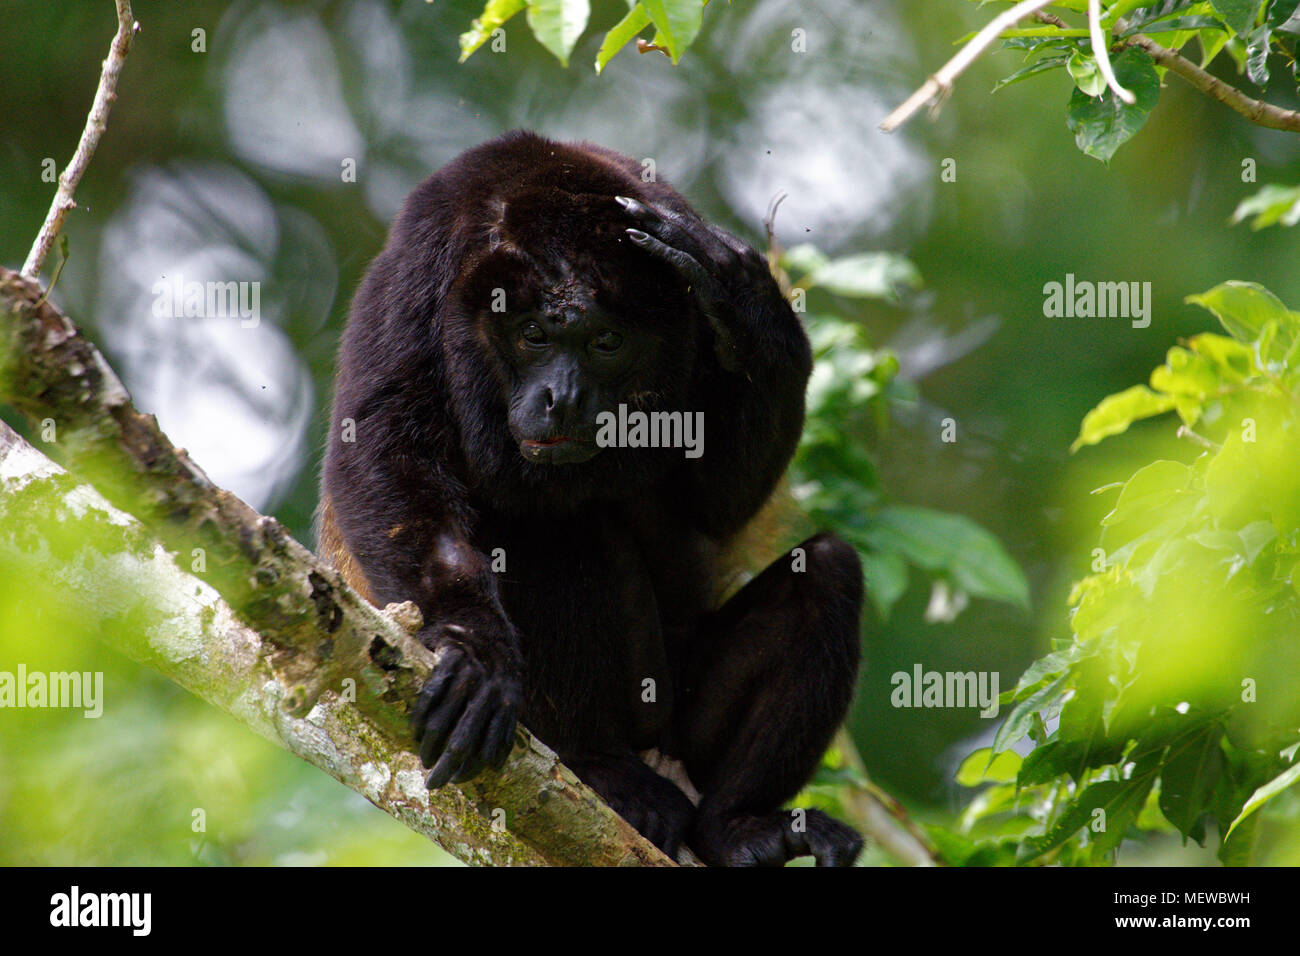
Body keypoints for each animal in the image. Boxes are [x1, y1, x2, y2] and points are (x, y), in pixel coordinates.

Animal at [317, 128, 863, 868]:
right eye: (533, 334)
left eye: (607, 342)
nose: (563, 397)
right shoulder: (420, 262)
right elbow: (382, 451)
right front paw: (469, 645)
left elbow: (717, 502)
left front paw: (744, 290)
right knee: (542, 530)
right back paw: (598, 767)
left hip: (680, 726)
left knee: (828, 571)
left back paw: (737, 826)